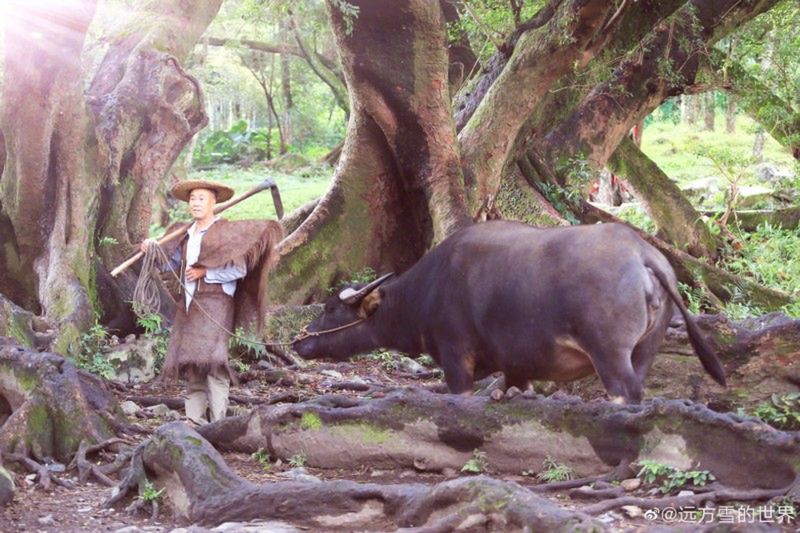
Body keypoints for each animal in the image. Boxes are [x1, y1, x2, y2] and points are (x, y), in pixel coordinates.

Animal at [292, 218, 724, 402]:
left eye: (330, 308)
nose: (300, 342)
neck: (428, 290)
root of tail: (643, 254)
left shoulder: (456, 359)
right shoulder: (518, 367)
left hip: (610, 355)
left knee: (626, 392)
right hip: (645, 350)